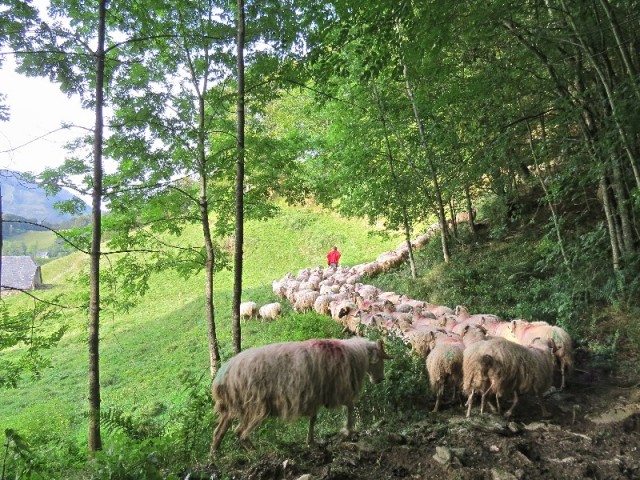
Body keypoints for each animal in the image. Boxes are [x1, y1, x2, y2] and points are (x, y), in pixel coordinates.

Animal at [210, 336, 392, 452]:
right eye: (380, 359)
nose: (380, 379)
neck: (353, 354)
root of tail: (222, 375)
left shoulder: (317, 396)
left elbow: (313, 418)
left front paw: (310, 441)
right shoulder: (337, 390)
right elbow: (350, 407)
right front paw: (348, 430)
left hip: (232, 407)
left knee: (219, 432)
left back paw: (214, 456)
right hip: (254, 406)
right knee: (240, 432)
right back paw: (254, 452)